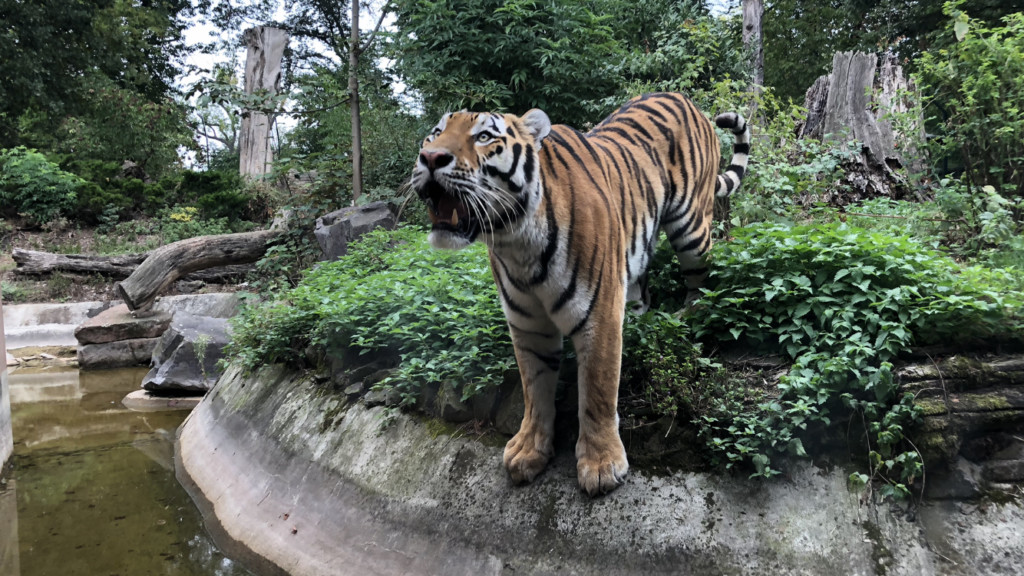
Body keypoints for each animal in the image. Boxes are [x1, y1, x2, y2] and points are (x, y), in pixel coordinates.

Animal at [409, 90, 753, 494]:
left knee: (700, 280)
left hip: (692, 229)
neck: (516, 242)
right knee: (642, 293)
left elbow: (597, 391)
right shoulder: (527, 327)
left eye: (484, 137)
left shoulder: (598, 317)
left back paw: (690, 318)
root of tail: (684, 98)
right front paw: (528, 451)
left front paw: (601, 465)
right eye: (435, 134)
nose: (430, 157)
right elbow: (534, 390)